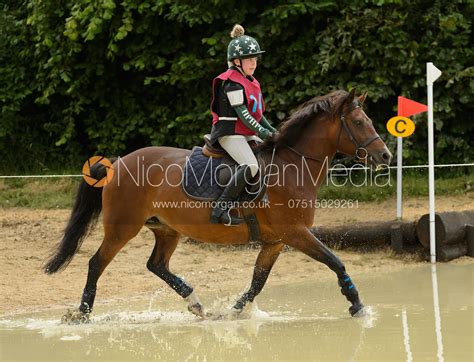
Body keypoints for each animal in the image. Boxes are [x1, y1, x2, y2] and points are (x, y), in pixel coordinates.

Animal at [44, 89, 392, 320]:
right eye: (359, 122)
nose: (386, 155)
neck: (294, 165)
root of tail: (118, 163)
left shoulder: (276, 242)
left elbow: (257, 282)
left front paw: (235, 312)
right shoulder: (295, 233)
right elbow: (336, 262)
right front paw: (357, 304)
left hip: (167, 229)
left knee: (156, 265)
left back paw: (196, 304)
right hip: (122, 228)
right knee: (96, 263)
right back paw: (83, 314)